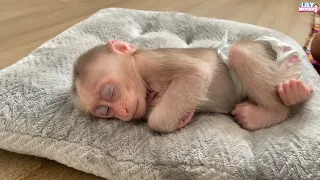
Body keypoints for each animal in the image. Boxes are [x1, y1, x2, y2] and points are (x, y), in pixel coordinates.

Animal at [71, 39, 314, 132]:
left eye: (110, 92)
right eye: (105, 111)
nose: (122, 113)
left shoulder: (148, 63)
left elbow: (196, 72)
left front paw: (179, 118)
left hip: (274, 60)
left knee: (240, 52)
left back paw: (275, 109)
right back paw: (293, 94)